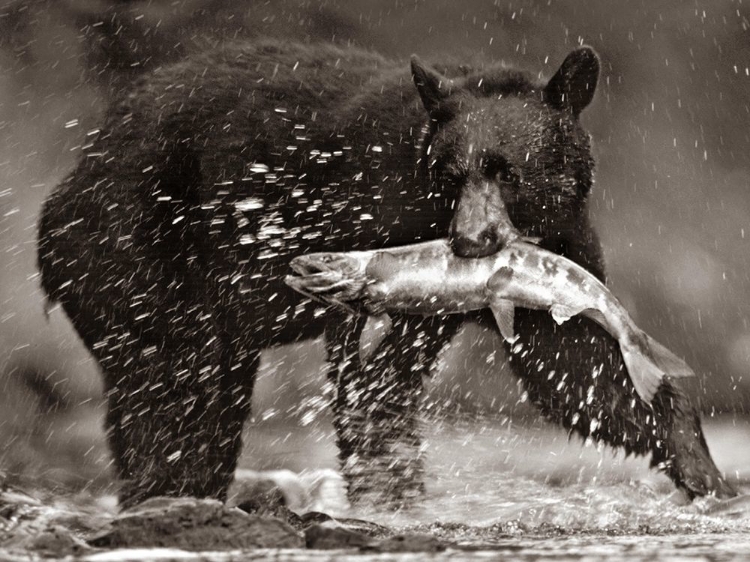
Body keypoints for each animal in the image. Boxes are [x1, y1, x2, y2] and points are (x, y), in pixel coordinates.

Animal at [38, 39, 736, 504]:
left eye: (507, 171)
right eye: (450, 174)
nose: (470, 242)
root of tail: (77, 170)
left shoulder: (563, 248)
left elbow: (577, 364)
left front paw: (705, 473)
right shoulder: (371, 214)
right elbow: (371, 378)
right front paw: (392, 493)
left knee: (209, 399)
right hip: (136, 253)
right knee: (171, 389)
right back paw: (163, 488)